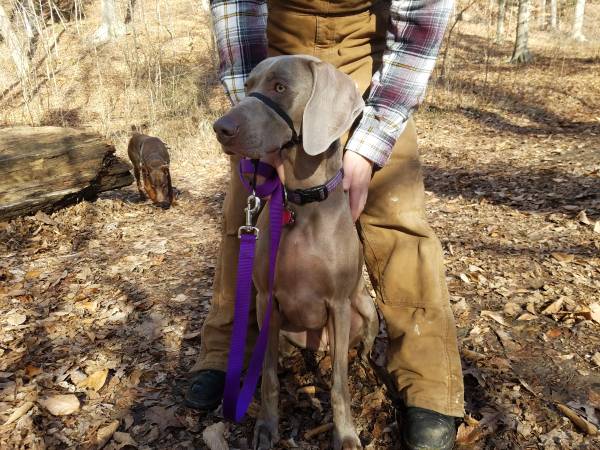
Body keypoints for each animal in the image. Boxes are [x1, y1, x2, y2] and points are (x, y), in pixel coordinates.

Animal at [213, 55, 378, 450]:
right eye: (248, 86)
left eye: (280, 87)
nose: (220, 128)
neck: (301, 203)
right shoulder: (266, 297)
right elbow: (268, 376)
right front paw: (266, 426)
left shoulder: (338, 303)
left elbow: (338, 385)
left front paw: (345, 434)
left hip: (366, 308)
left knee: (361, 346)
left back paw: (365, 365)